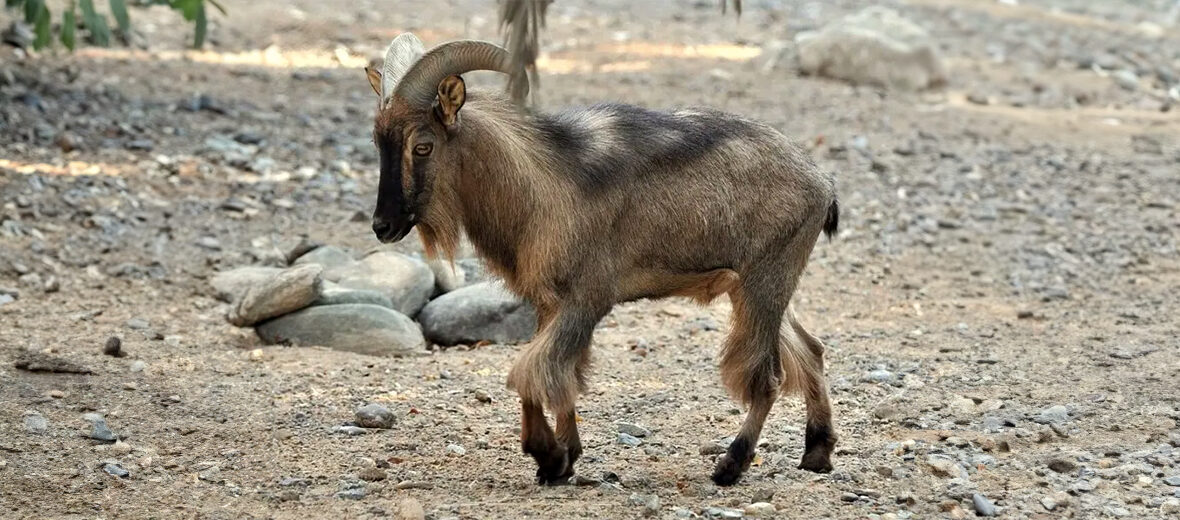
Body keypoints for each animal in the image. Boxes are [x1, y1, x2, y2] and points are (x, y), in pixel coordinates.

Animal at [363, 34, 835, 483]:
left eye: (423, 146)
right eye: (378, 141)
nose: (383, 225)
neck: (543, 184)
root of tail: (822, 183)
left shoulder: (586, 300)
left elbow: (532, 372)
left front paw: (549, 456)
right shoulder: (550, 302)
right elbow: (561, 376)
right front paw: (564, 459)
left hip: (764, 282)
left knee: (768, 378)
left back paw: (731, 466)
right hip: (761, 288)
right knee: (810, 350)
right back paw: (817, 452)